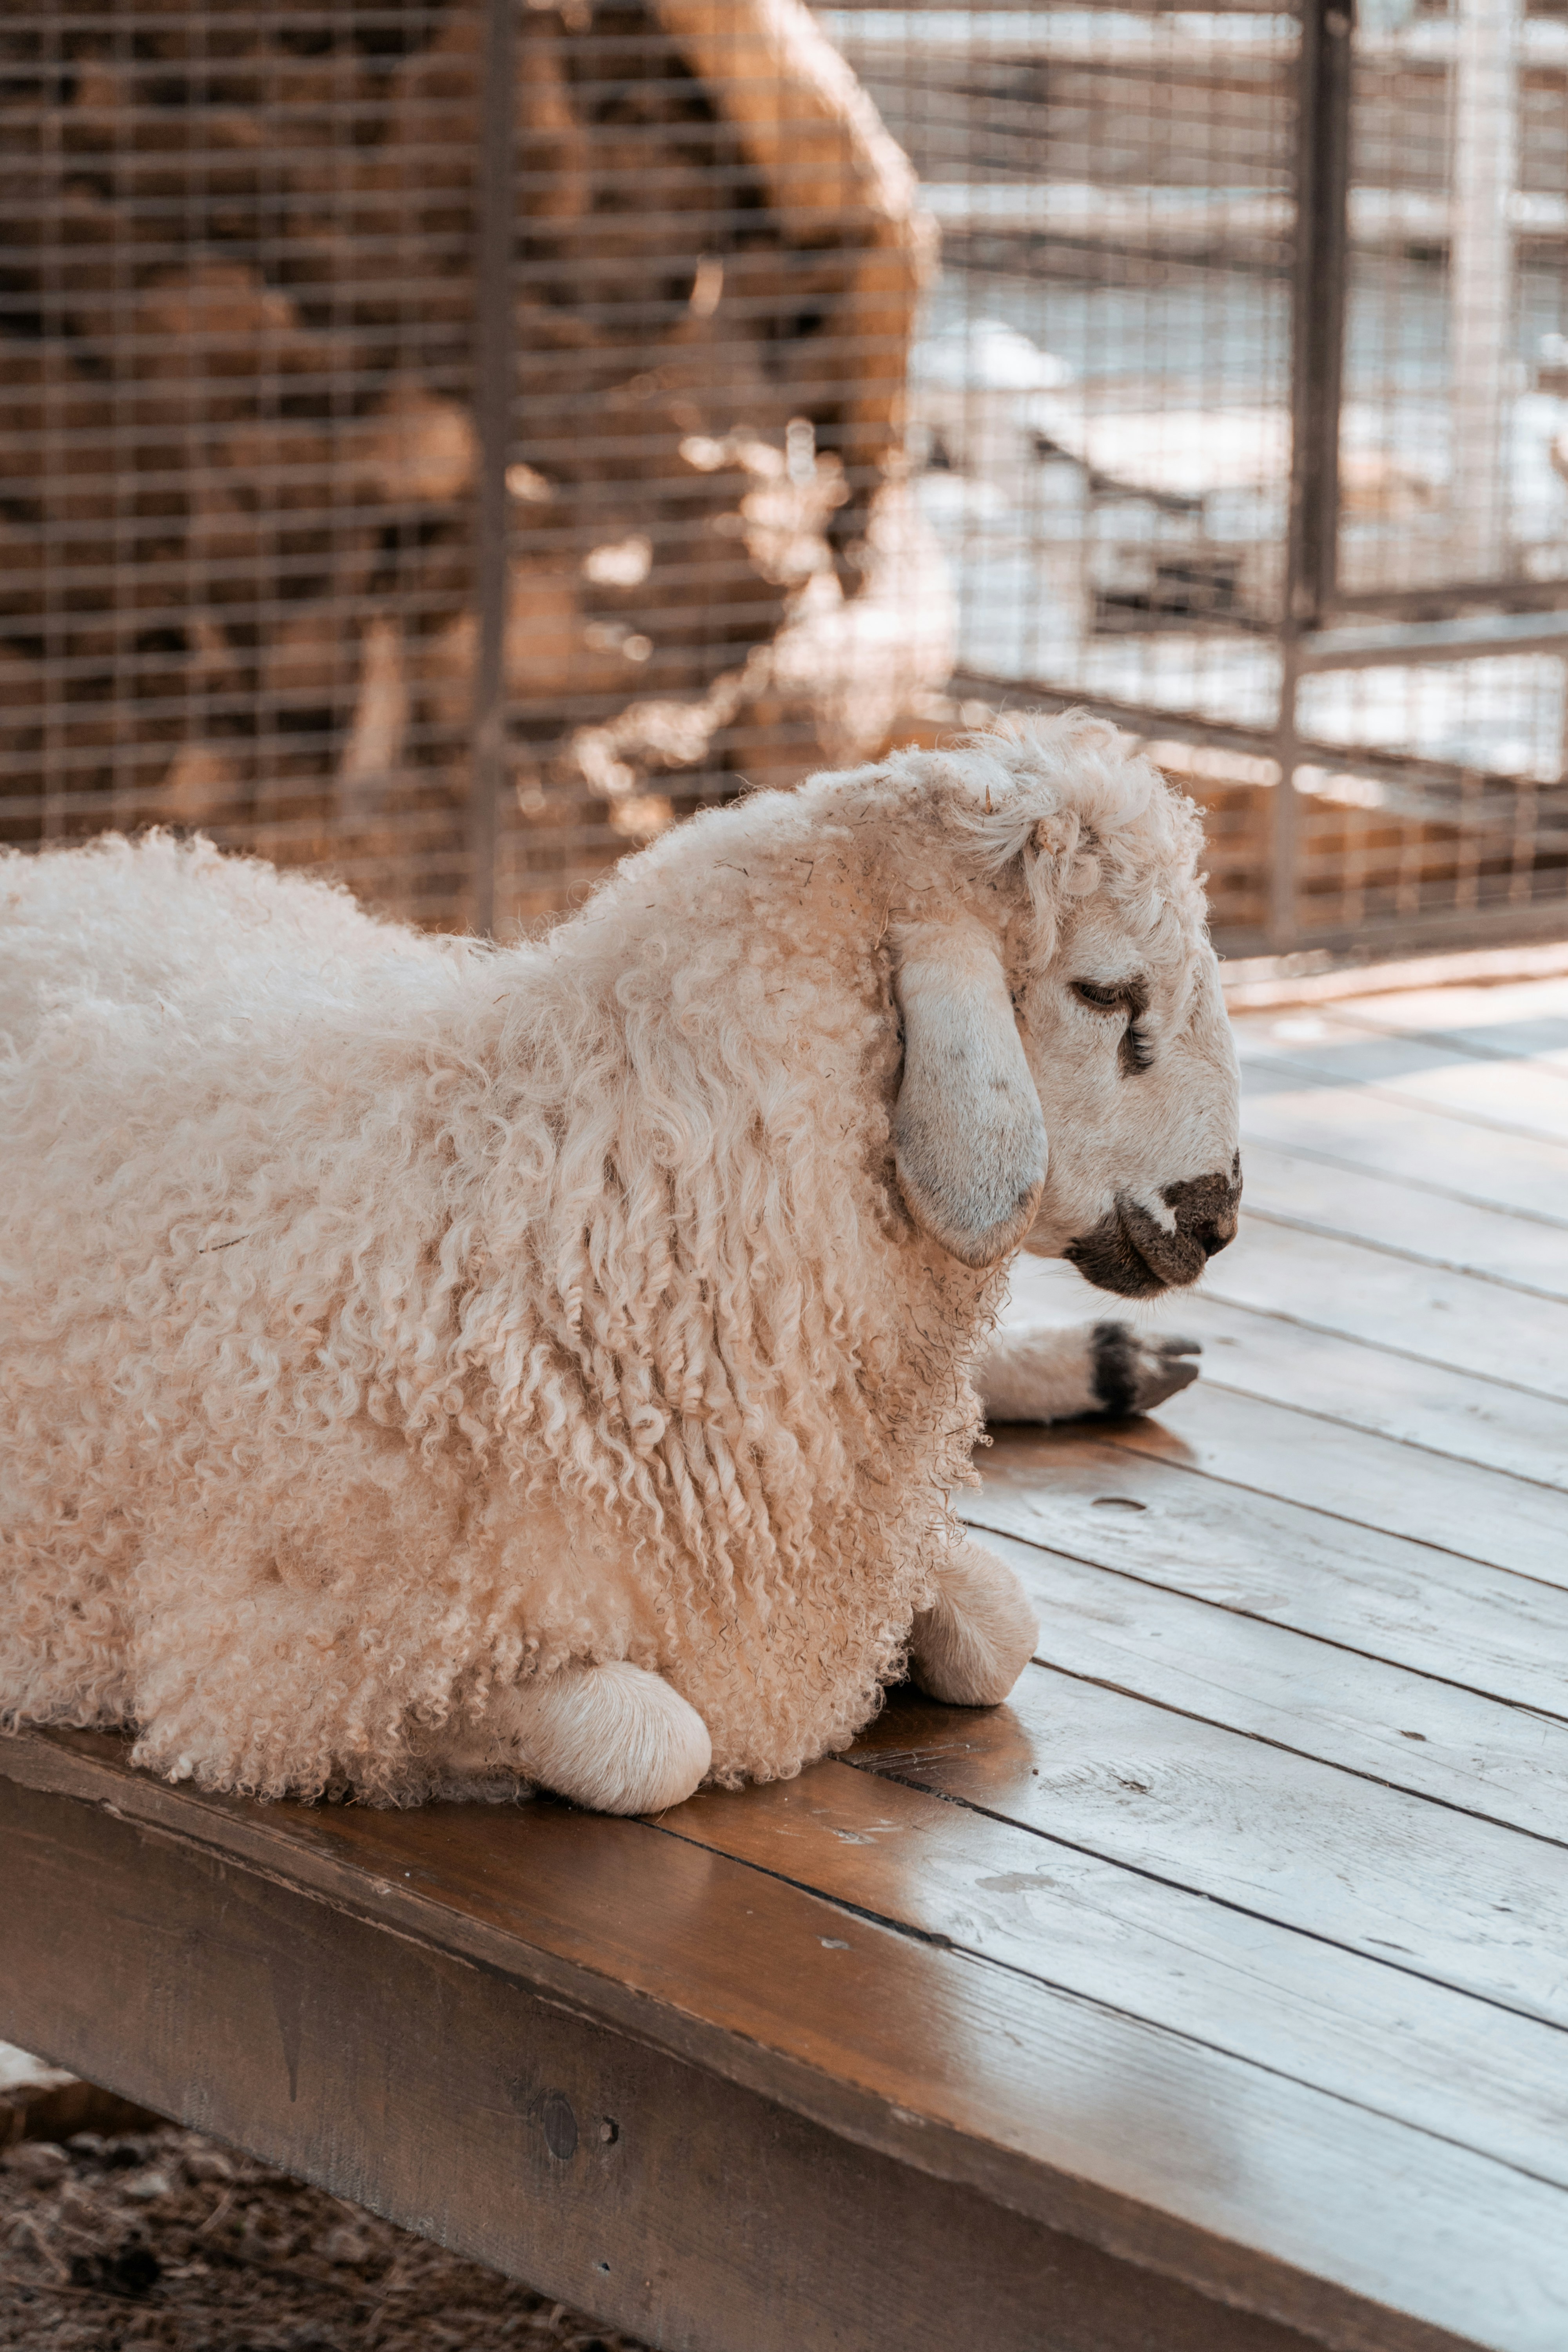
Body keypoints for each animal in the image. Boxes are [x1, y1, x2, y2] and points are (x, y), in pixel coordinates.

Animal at [0, 715, 1241, 1814]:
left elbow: (1003, 1633)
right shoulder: (286, 1668)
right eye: (1103, 992)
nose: (1218, 1212)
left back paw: (1105, 1359)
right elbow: (656, 1744)